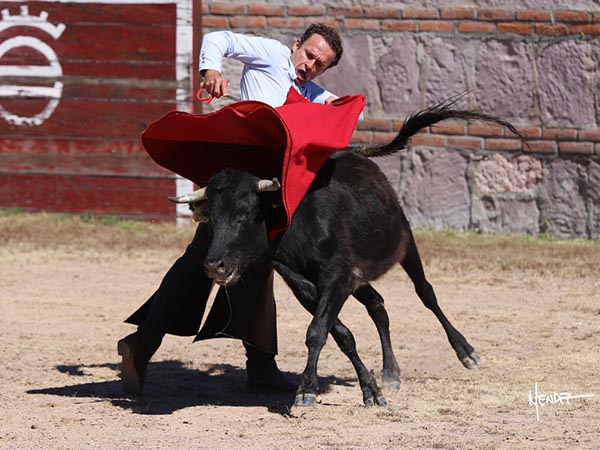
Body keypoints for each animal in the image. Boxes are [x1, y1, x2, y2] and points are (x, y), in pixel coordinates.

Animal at [171, 99, 524, 408]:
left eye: (245, 212)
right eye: (210, 217)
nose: (214, 265)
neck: (296, 225)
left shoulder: (337, 277)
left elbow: (317, 332)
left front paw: (306, 391)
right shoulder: (307, 286)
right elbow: (340, 334)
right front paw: (371, 389)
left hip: (405, 244)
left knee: (426, 293)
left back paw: (466, 351)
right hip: (360, 278)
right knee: (378, 304)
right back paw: (391, 373)